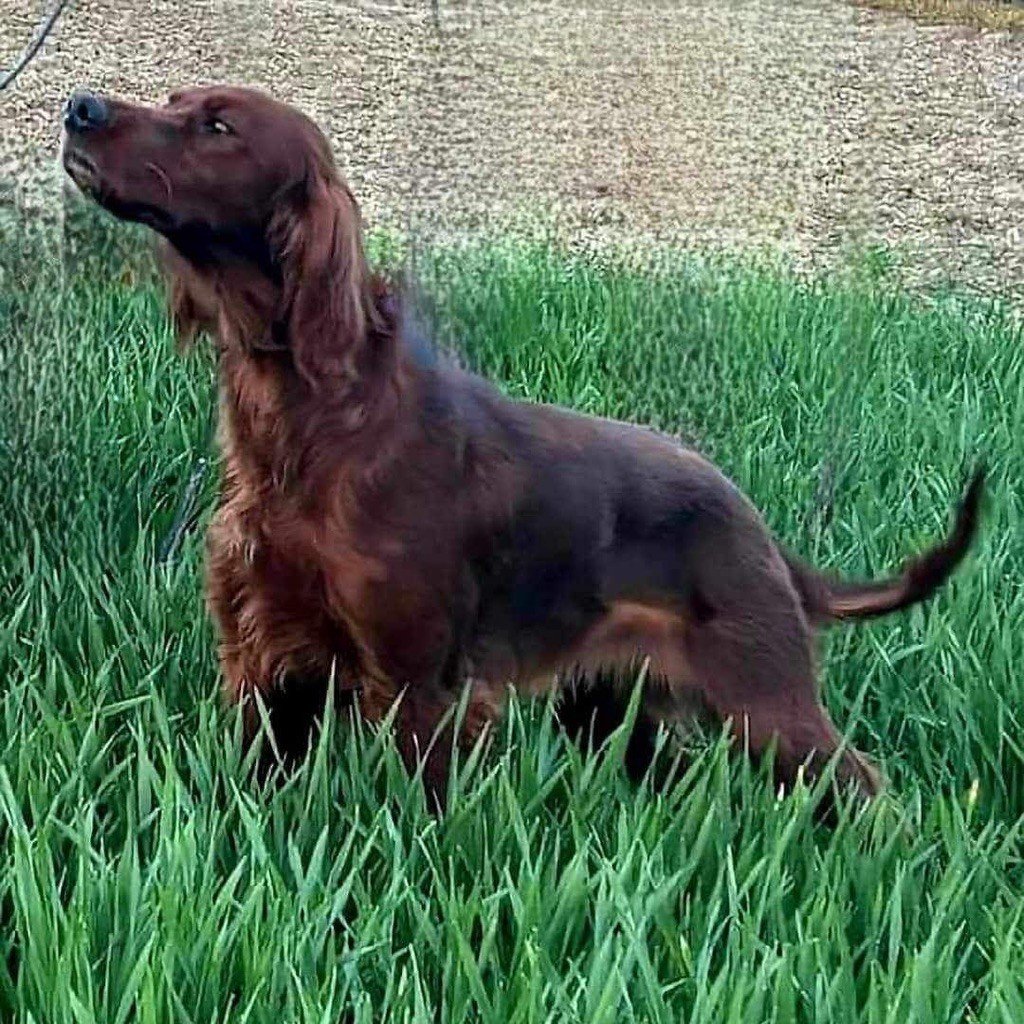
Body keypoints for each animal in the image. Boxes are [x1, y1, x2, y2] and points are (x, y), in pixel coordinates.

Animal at [61, 86, 983, 806]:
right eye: (175, 99)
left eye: (218, 125)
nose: (79, 107)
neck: (312, 422)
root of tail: (760, 529)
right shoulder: (262, 658)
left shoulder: (420, 688)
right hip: (612, 708)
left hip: (765, 700)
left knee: (864, 786)